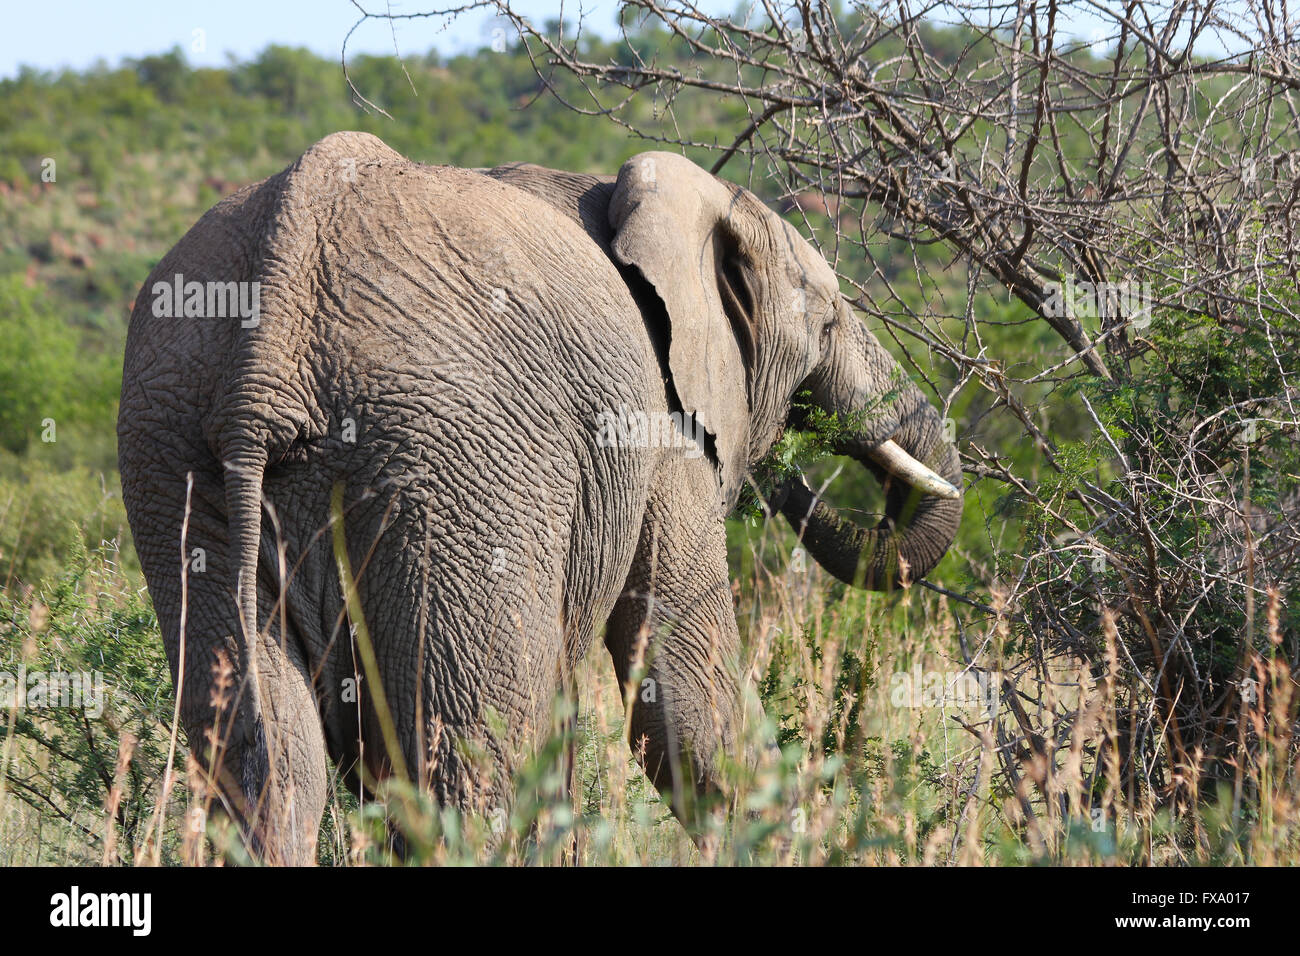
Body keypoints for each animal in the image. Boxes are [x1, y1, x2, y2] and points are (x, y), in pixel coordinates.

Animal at [117, 131, 962, 863]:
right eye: (827, 316)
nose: (795, 463)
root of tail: (277, 330)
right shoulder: (658, 428)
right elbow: (686, 697)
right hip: (454, 464)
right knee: (470, 763)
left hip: (176, 457)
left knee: (265, 763)